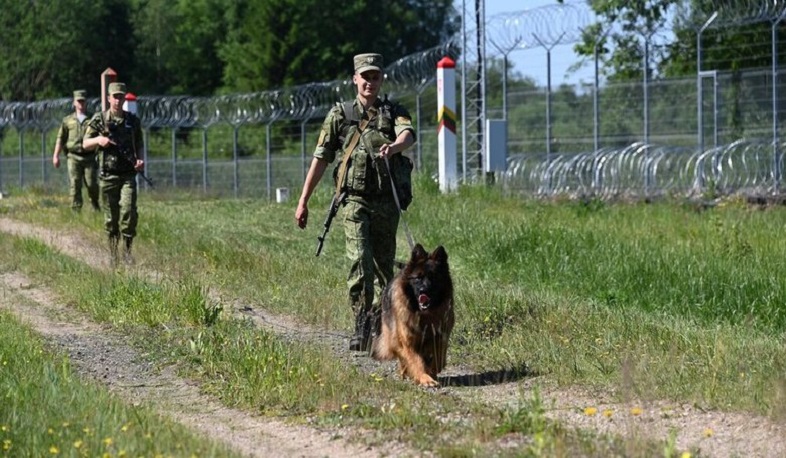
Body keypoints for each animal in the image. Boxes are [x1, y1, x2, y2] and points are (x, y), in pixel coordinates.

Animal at [372, 243, 454, 386]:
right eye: (418, 278)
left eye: (433, 278)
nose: (423, 291)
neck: (425, 315)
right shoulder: (408, 341)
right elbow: (416, 361)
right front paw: (425, 378)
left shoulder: (441, 337)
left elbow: (439, 357)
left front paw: (433, 371)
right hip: (394, 336)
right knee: (402, 357)